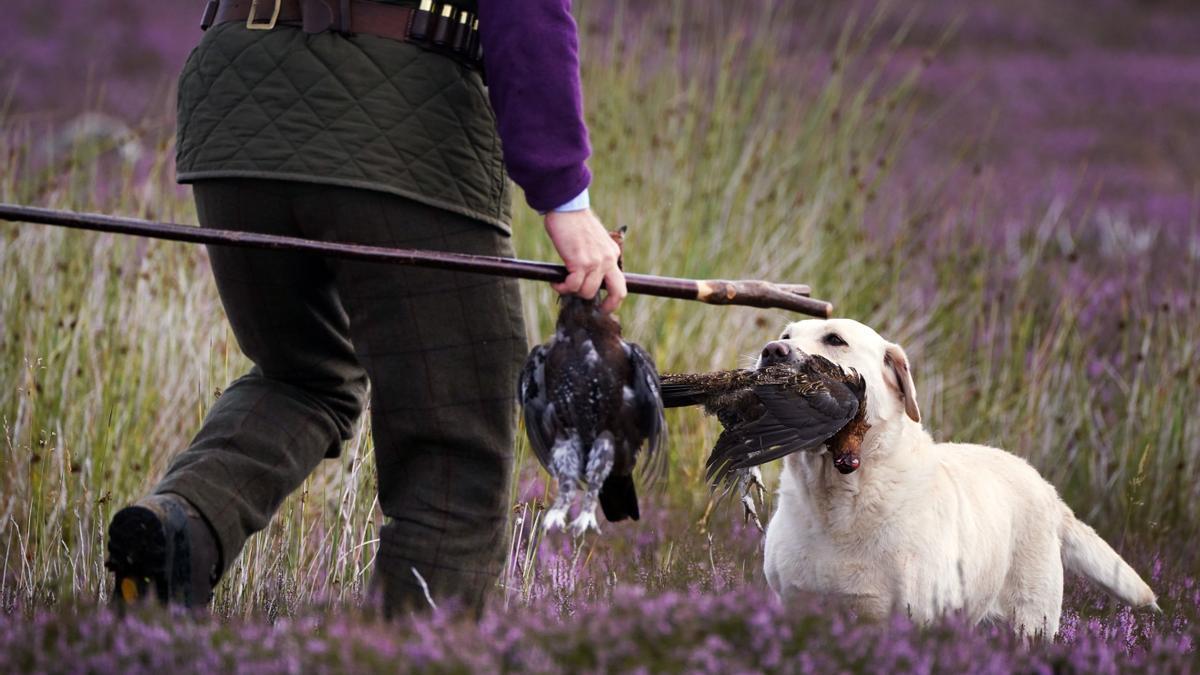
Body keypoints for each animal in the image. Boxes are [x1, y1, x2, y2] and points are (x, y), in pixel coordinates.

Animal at [758, 317, 1161, 634]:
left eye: (835, 340)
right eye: (787, 334)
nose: (772, 351)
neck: (840, 499)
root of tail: (1048, 489)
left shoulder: (912, 616)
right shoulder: (794, 606)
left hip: (1031, 621)